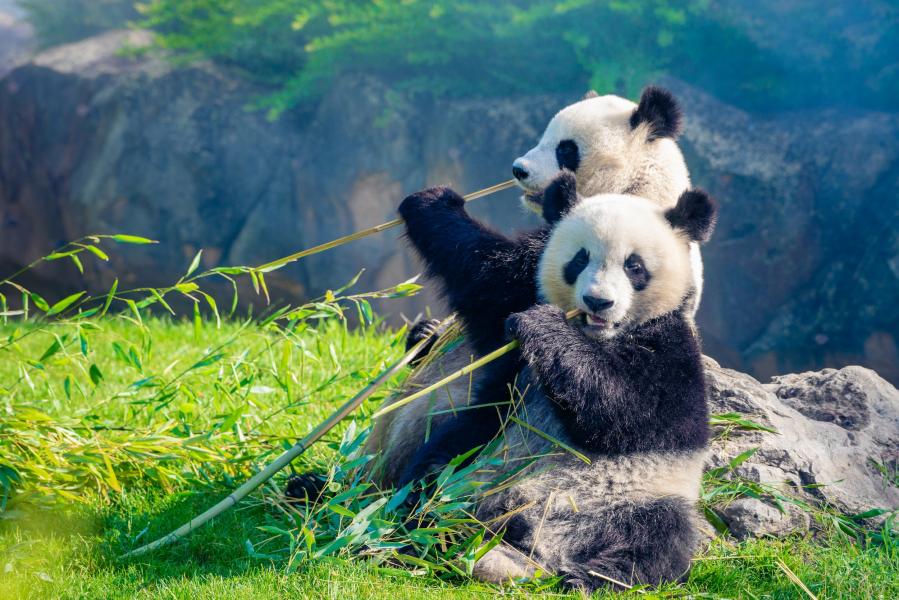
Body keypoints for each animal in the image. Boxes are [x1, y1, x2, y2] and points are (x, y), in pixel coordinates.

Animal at [396, 183, 717, 591]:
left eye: (634, 266)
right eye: (579, 259)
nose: (598, 301)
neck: (595, 335)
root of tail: (536, 546)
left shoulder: (672, 350)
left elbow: (632, 412)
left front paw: (544, 327)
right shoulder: (519, 295)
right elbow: (483, 273)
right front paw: (434, 201)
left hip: (640, 495)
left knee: (659, 538)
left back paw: (590, 576)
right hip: (479, 454)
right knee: (434, 472)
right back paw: (415, 533)